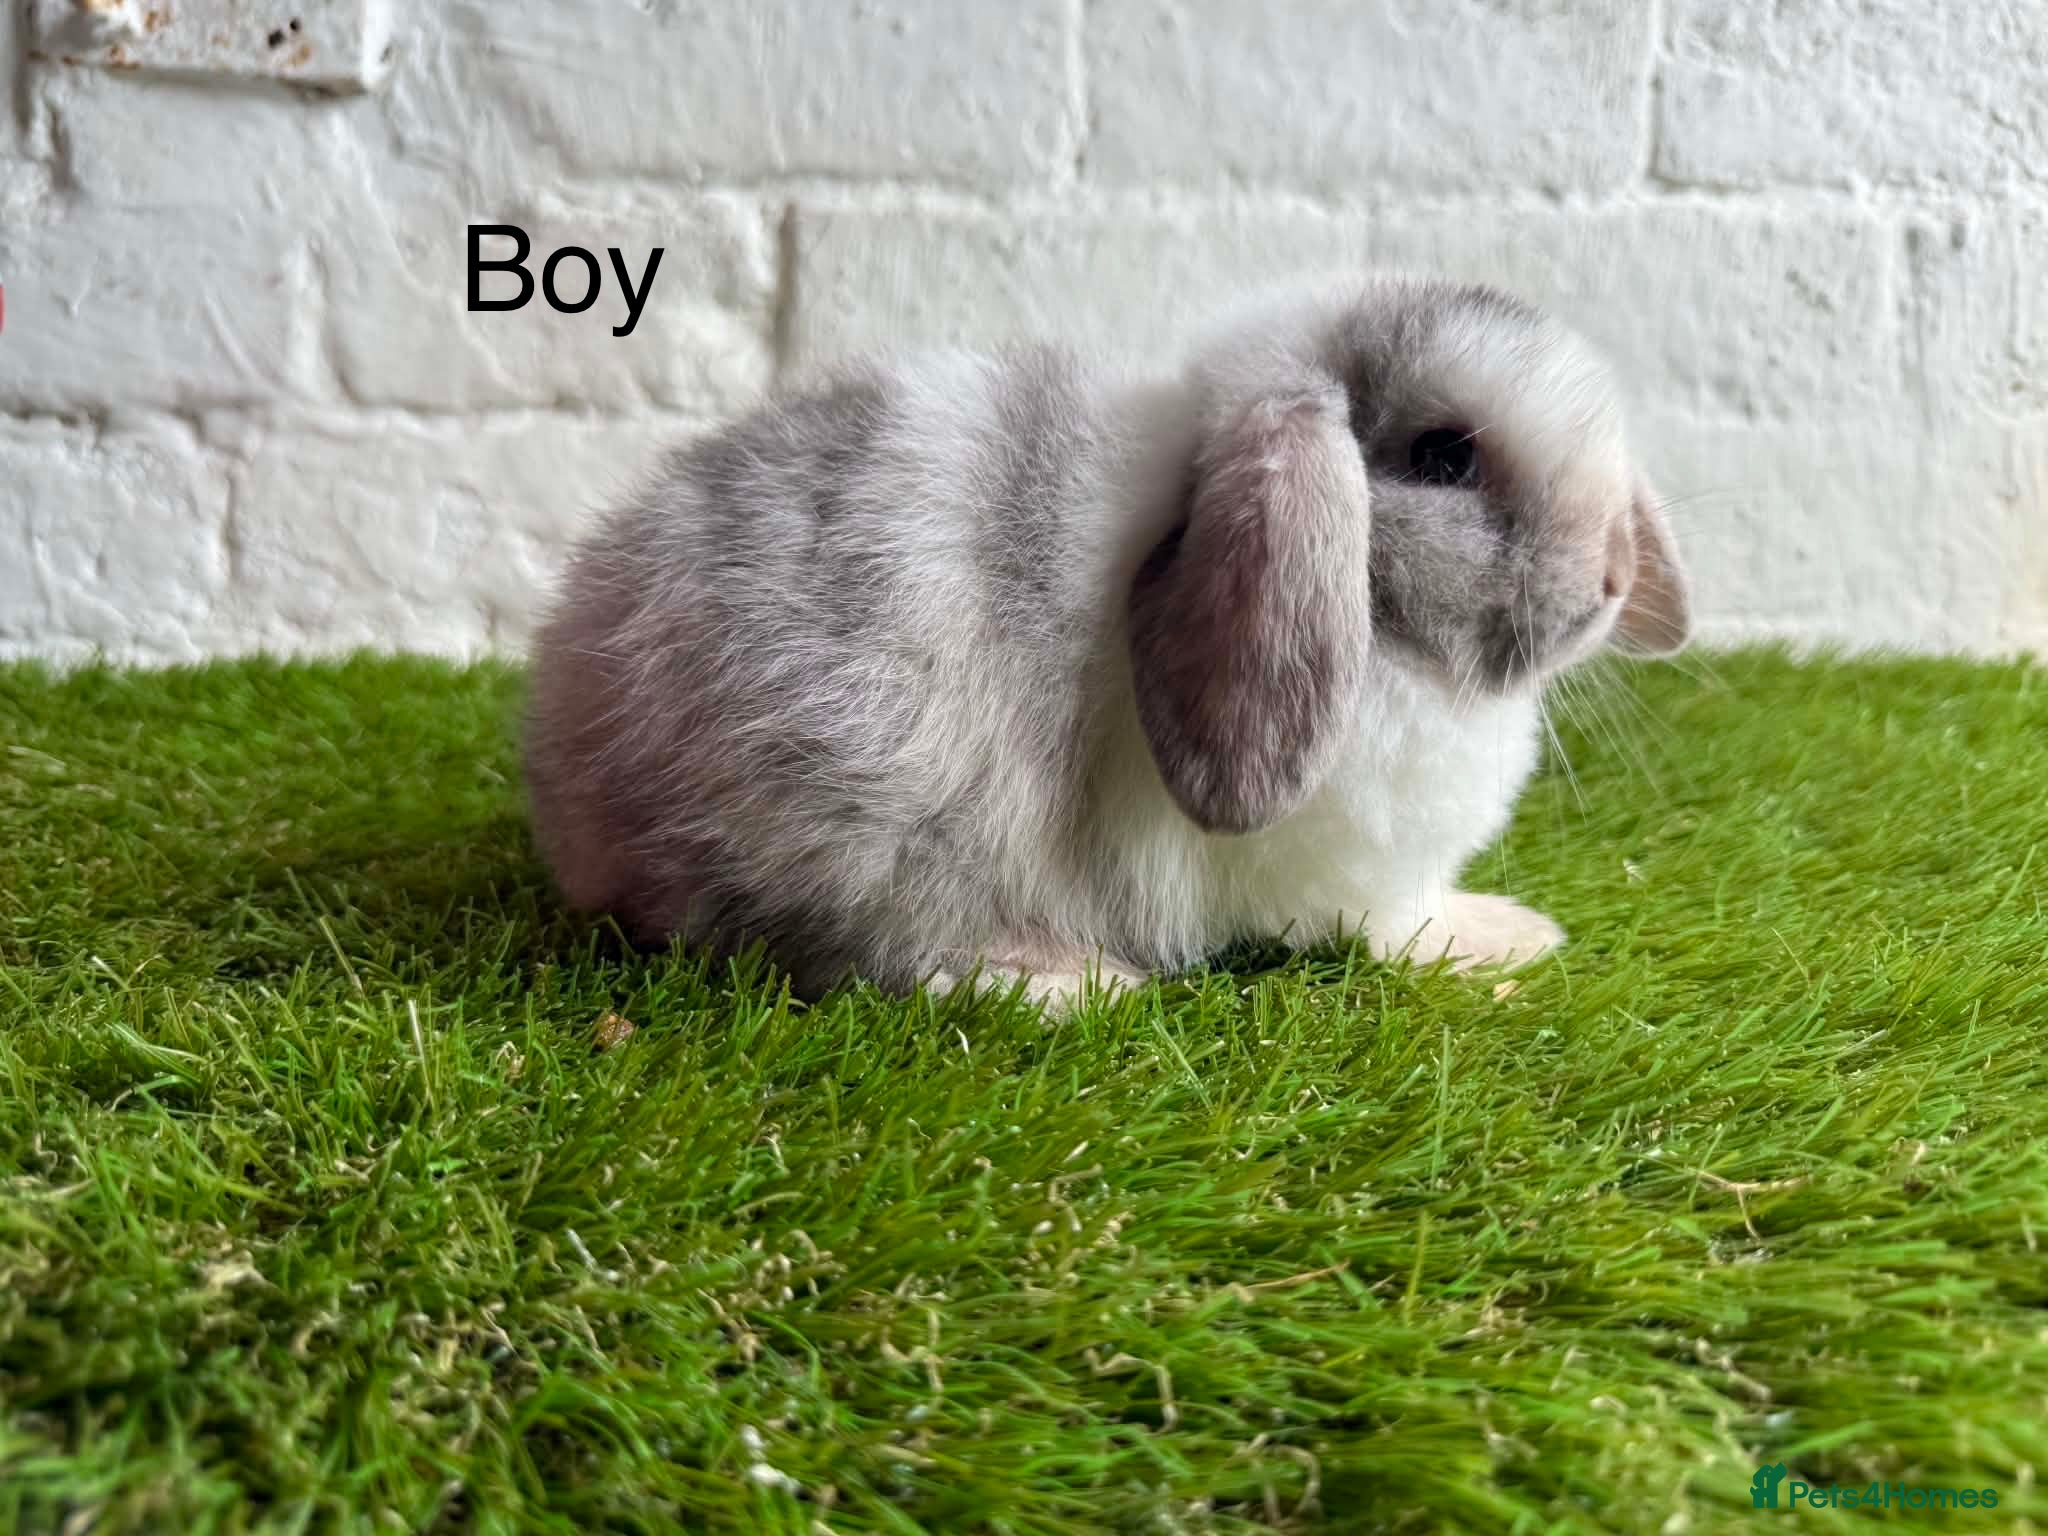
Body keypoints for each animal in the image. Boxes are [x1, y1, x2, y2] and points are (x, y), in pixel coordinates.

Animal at [524, 274, 1691, 1010]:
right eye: (1446, 456)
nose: (1611, 577)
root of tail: (582, 806)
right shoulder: (1355, 875)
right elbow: (1394, 926)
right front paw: (1494, 944)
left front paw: (1507, 923)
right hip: (859, 814)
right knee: (858, 956)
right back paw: (1061, 982)